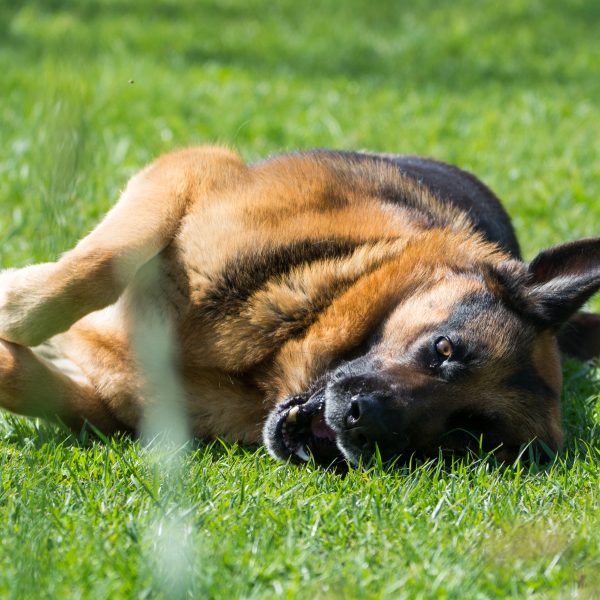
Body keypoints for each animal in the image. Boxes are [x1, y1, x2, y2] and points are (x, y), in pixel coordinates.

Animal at [0, 148, 596, 466]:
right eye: (445, 349)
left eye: (465, 436)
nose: (364, 423)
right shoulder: (193, 168)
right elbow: (101, 263)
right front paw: (14, 303)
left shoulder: (102, 403)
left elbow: (26, 379)